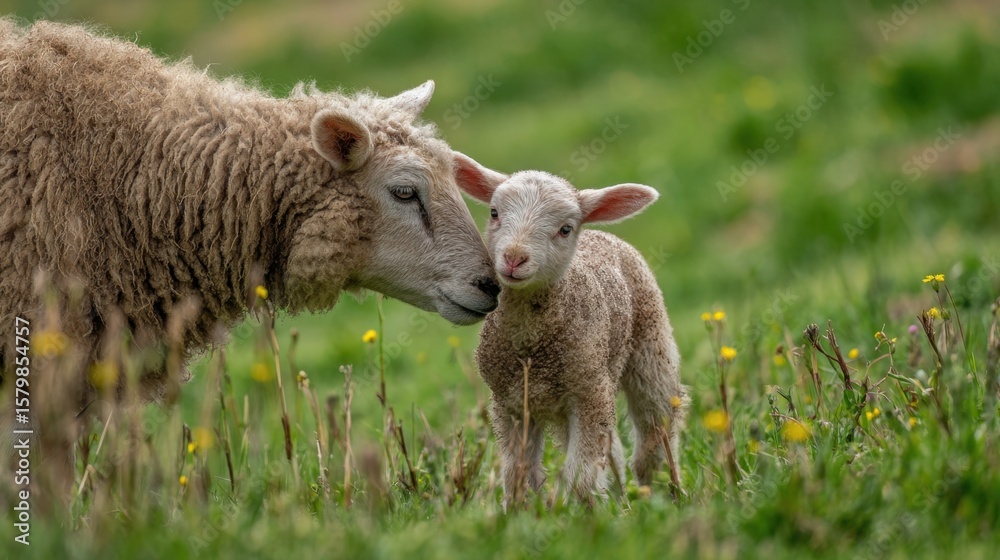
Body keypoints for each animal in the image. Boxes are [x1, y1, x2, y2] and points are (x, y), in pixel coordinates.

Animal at [461, 170, 689, 505]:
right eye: (494, 213)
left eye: (565, 229)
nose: (514, 258)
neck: (532, 348)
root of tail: (600, 235)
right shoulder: (510, 402)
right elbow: (517, 473)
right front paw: (519, 510)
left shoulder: (589, 392)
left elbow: (580, 475)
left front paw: (584, 513)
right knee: (613, 450)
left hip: (650, 345)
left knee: (656, 427)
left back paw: (663, 490)